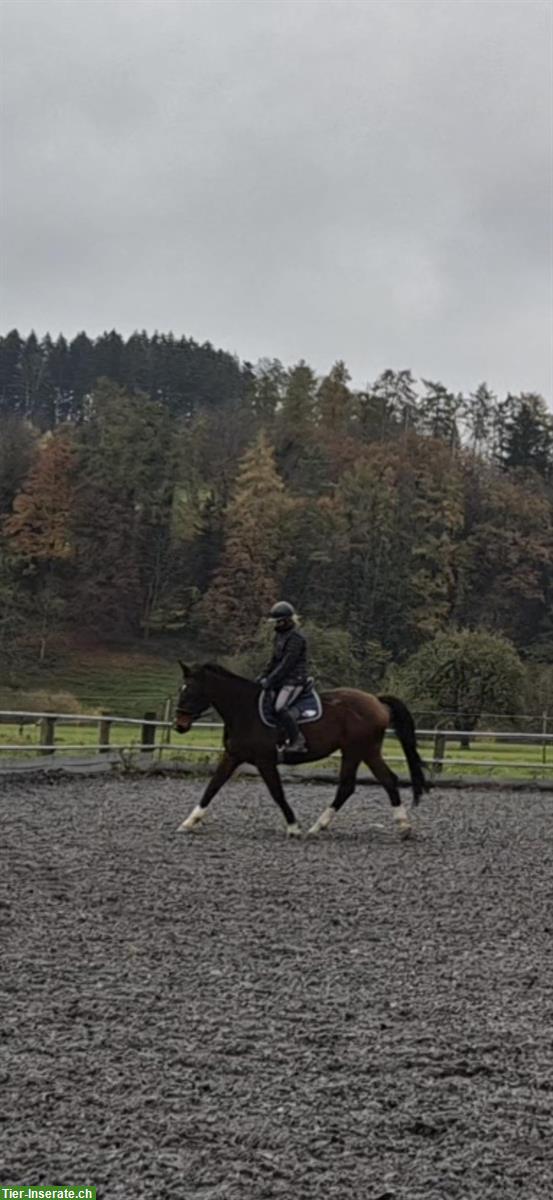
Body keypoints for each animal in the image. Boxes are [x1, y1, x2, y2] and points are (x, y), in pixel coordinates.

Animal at [172, 662, 427, 840]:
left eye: (191, 690)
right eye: (180, 689)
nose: (179, 725)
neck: (244, 710)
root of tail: (376, 700)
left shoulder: (265, 761)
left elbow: (277, 793)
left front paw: (294, 828)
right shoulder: (232, 756)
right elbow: (212, 787)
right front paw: (188, 822)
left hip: (358, 750)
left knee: (362, 784)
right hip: (361, 752)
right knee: (373, 782)